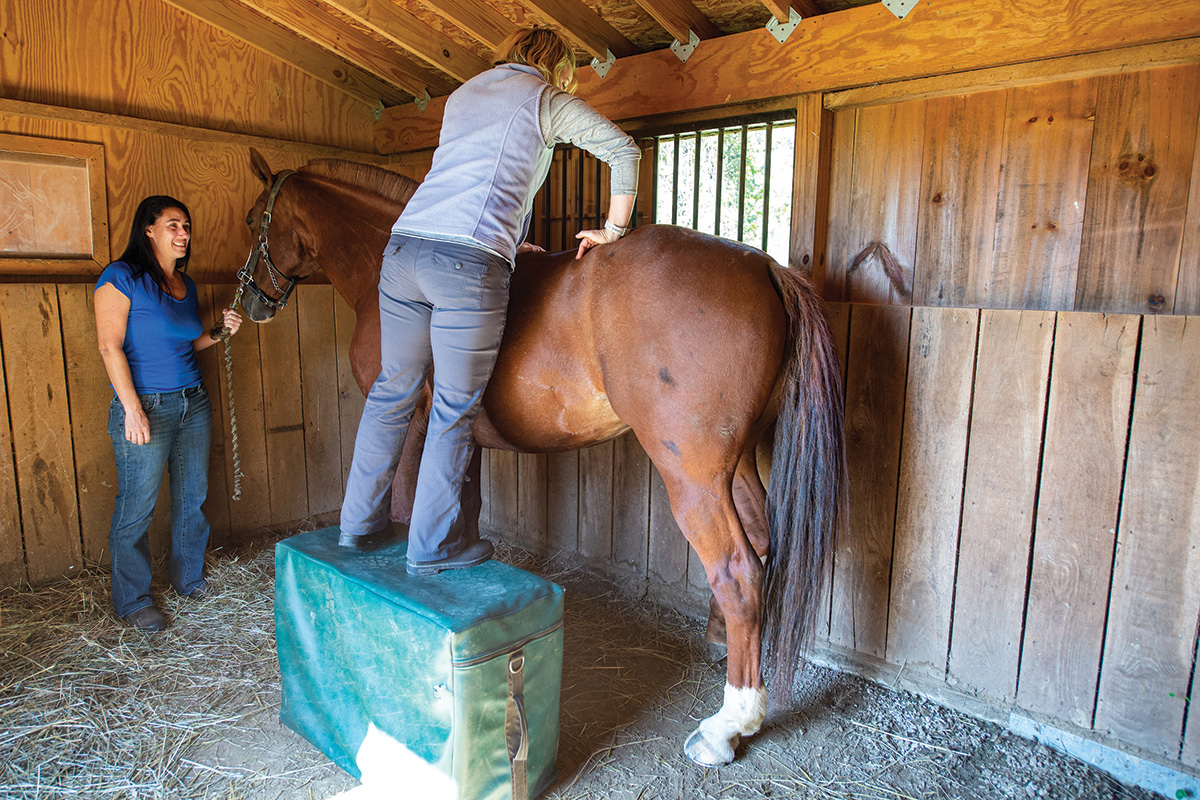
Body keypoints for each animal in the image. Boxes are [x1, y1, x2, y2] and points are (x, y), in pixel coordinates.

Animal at [241, 149, 844, 767]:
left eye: (249, 220)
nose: (251, 302)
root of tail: (764, 267)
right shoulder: (463, 434)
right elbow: (462, 505)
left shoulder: (408, 417)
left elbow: (409, 503)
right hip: (736, 462)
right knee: (761, 543)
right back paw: (723, 647)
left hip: (693, 475)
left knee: (737, 572)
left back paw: (730, 722)